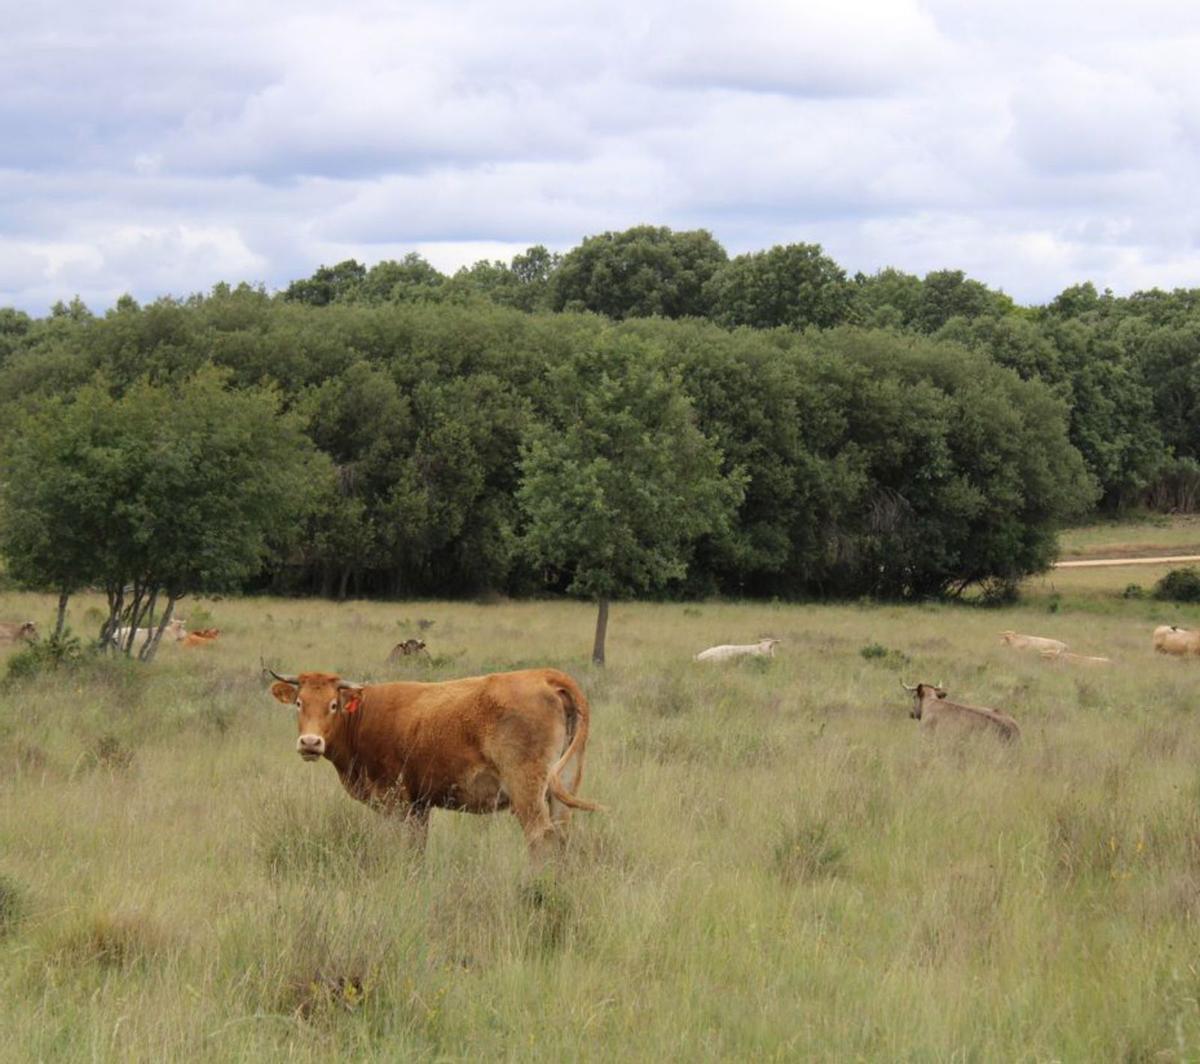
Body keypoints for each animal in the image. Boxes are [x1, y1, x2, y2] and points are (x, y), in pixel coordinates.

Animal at [264, 666, 600, 858]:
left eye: (333, 705)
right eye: (299, 703)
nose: (310, 743)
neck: (363, 716)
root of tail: (545, 675)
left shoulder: (394, 801)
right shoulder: (419, 805)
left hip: (526, 790)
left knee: (540, 837)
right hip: (562, 788)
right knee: (560, 837)